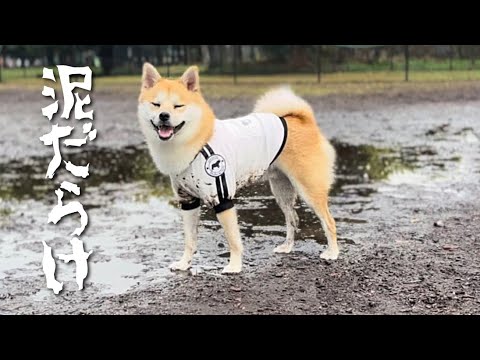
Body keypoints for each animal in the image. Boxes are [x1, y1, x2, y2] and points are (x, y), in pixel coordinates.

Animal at [136, 64, 338, 272]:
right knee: (293, 219)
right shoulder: (188, 201)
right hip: (282, 191)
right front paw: (185, 263)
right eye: (156, 104)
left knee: (328, 221)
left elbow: (233, 239)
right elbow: (190, 240)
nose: (164, 116)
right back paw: (287, 247)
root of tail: (303, 120)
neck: (199, 140)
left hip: (309, 189)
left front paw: (234, 266)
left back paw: (332, 253)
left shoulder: (222, 197)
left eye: (178, 106)